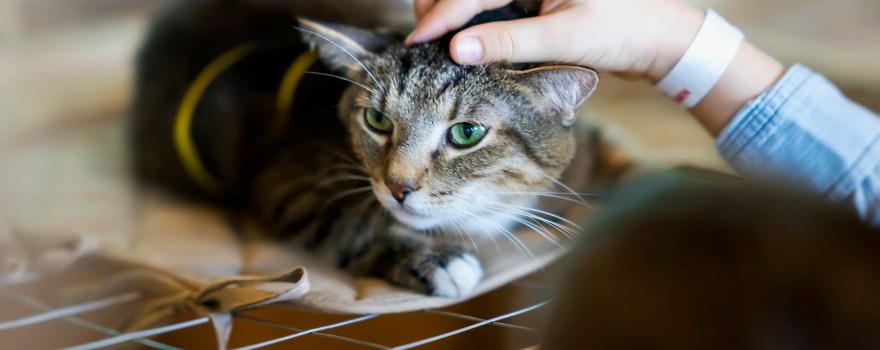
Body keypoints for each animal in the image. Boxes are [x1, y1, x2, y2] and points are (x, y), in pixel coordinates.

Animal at [132, 0, 612, 296]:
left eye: (467, 134)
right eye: (378, 121)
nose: (398, 187)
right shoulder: (286, 183)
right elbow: (354, 224)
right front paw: (431, 259)